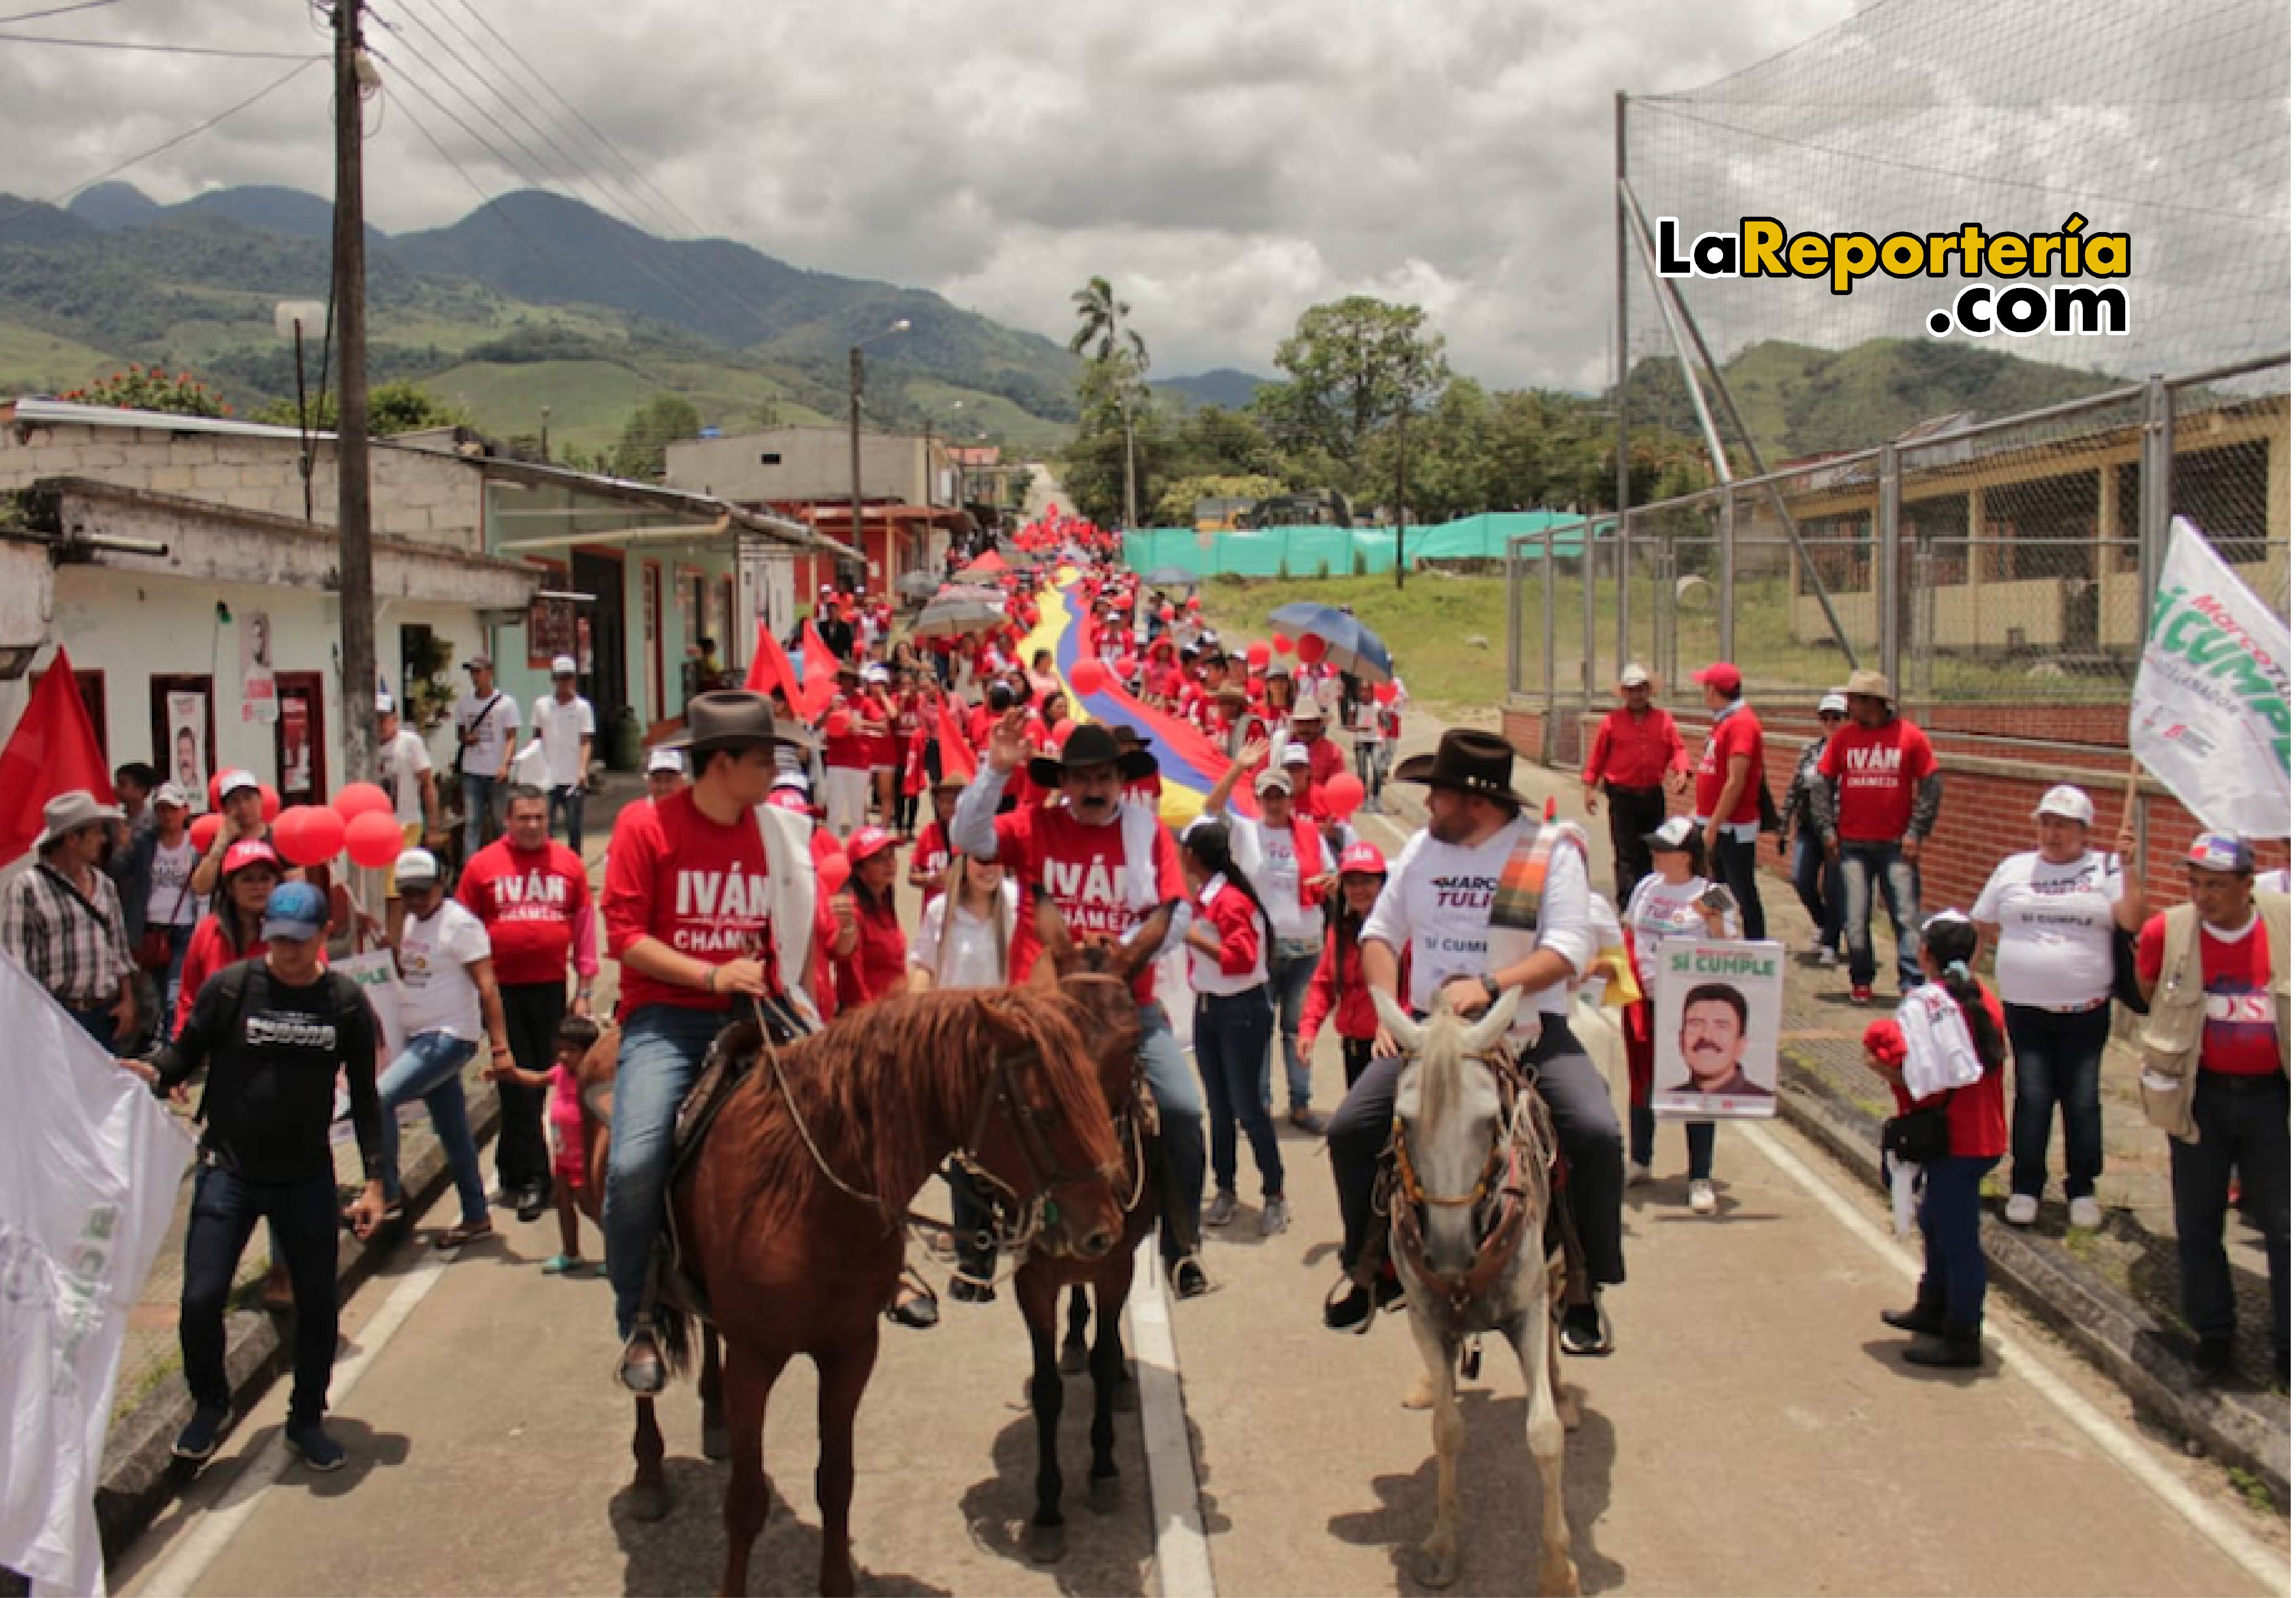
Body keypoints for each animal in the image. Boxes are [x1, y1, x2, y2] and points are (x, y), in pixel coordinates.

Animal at [578, 991, 1125, 1589]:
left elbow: (836, 1481)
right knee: (640, 1349)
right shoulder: (754, 1360)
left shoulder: (851, 1349)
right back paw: (649, 1467)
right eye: (1044, 1113)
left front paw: (837, 1581)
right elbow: (745, 1502)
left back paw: (714, 1420)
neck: (801, 1193)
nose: (1104, 1230)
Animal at [1359, 991, 1579, 1589]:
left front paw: (1558, 1571)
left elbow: (1543, 1433)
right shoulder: (1426, 1318)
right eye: (1405, 1119)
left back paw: (1564, 1389)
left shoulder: (1526, 1311)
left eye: (1487, 1120)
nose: (1451, 1248)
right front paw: (1441, 1544)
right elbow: (1447, 1430)